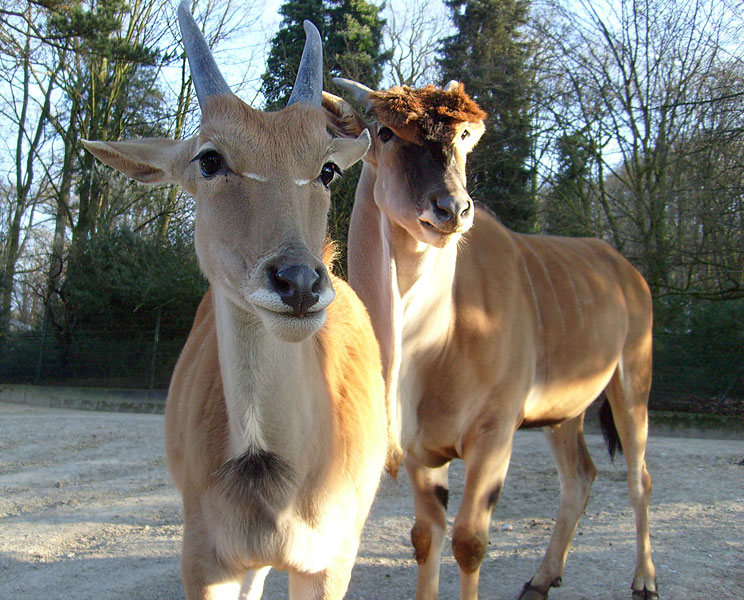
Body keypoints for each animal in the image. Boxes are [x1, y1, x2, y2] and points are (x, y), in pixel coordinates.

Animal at [322, 81, 660, 600]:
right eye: (386, 132)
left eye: (464, 136)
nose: (453, 208)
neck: (431, 342)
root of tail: (626, 272)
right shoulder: (423, 450)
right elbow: (426, 536)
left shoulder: (495, 433)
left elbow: (469, 541)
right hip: (563, 412)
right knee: (580, 478)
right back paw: (541, 578)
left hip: (632, 385)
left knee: (638, 476)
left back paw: (644, 580)